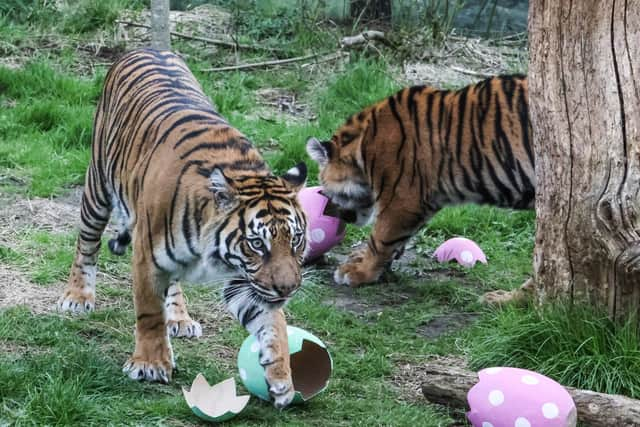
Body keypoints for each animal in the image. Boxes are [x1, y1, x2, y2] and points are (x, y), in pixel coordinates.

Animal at [57, 48, 308, 410]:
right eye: (257, 244)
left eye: (296, 239)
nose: (288, 289)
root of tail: (147, 48)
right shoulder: (146, 257)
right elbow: (149, 312)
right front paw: (150, 365)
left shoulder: (245, 280)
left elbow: (273, 322)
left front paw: (281, 378)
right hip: (97, 186)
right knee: (86, 245)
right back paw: (78, 296)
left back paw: (179, 319)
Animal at [308, 74, 532, 288]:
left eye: (325, 189)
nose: (332, 214)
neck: (361, 147)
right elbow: (395, 241)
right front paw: (362, 260)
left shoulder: (401, 201)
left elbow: (380, 238)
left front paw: (359, 272)